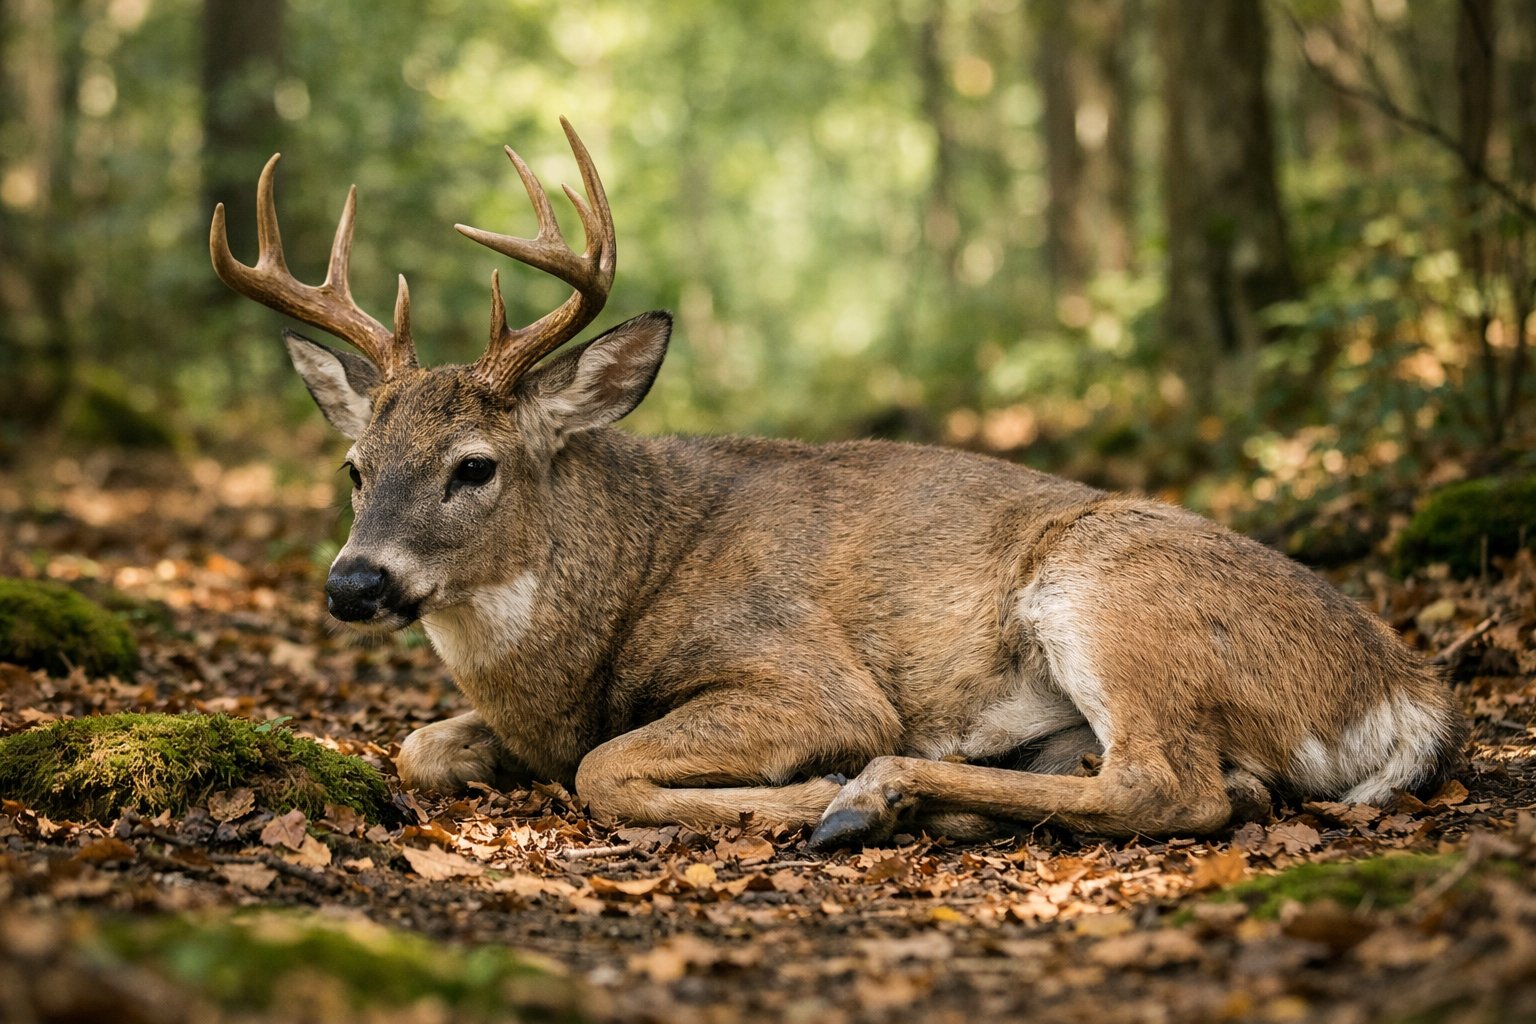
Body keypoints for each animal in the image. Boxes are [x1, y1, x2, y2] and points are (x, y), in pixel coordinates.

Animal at [209, 119, 1464, 848]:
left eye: (475, 466)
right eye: (354, 466)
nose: (355, 582)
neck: (588, 631)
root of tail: (1411, 691)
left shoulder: (803, 673)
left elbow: (606, 767)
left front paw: (806, 792)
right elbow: (420, 746)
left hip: (1108, 589)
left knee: (1173, 787)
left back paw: (876, 795)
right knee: (1219, 786)